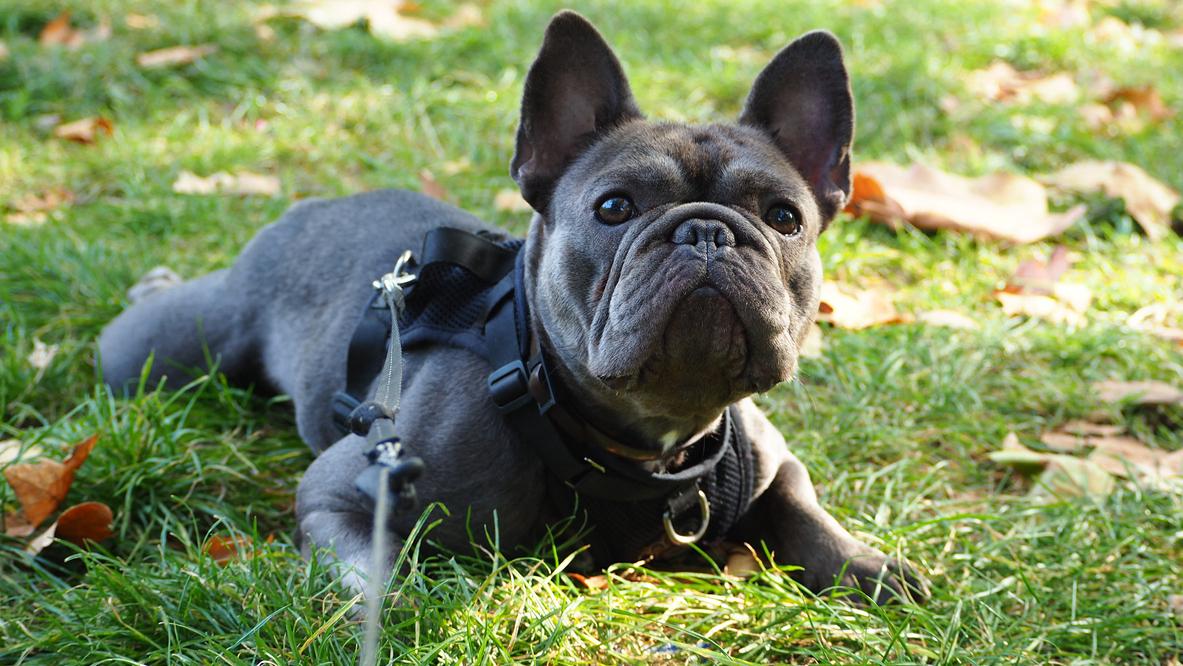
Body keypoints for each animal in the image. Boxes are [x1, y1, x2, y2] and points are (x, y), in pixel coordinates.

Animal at [99, 10, 922, 605]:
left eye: (784, 218)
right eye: (614, 208)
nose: (706, 231)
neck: (643, 443)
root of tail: (314, 205)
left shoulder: (772, 462)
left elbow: (803, 509)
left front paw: (868, 567)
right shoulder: (336, 495)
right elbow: (372, 568)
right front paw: (394, 605)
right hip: (160, 354)